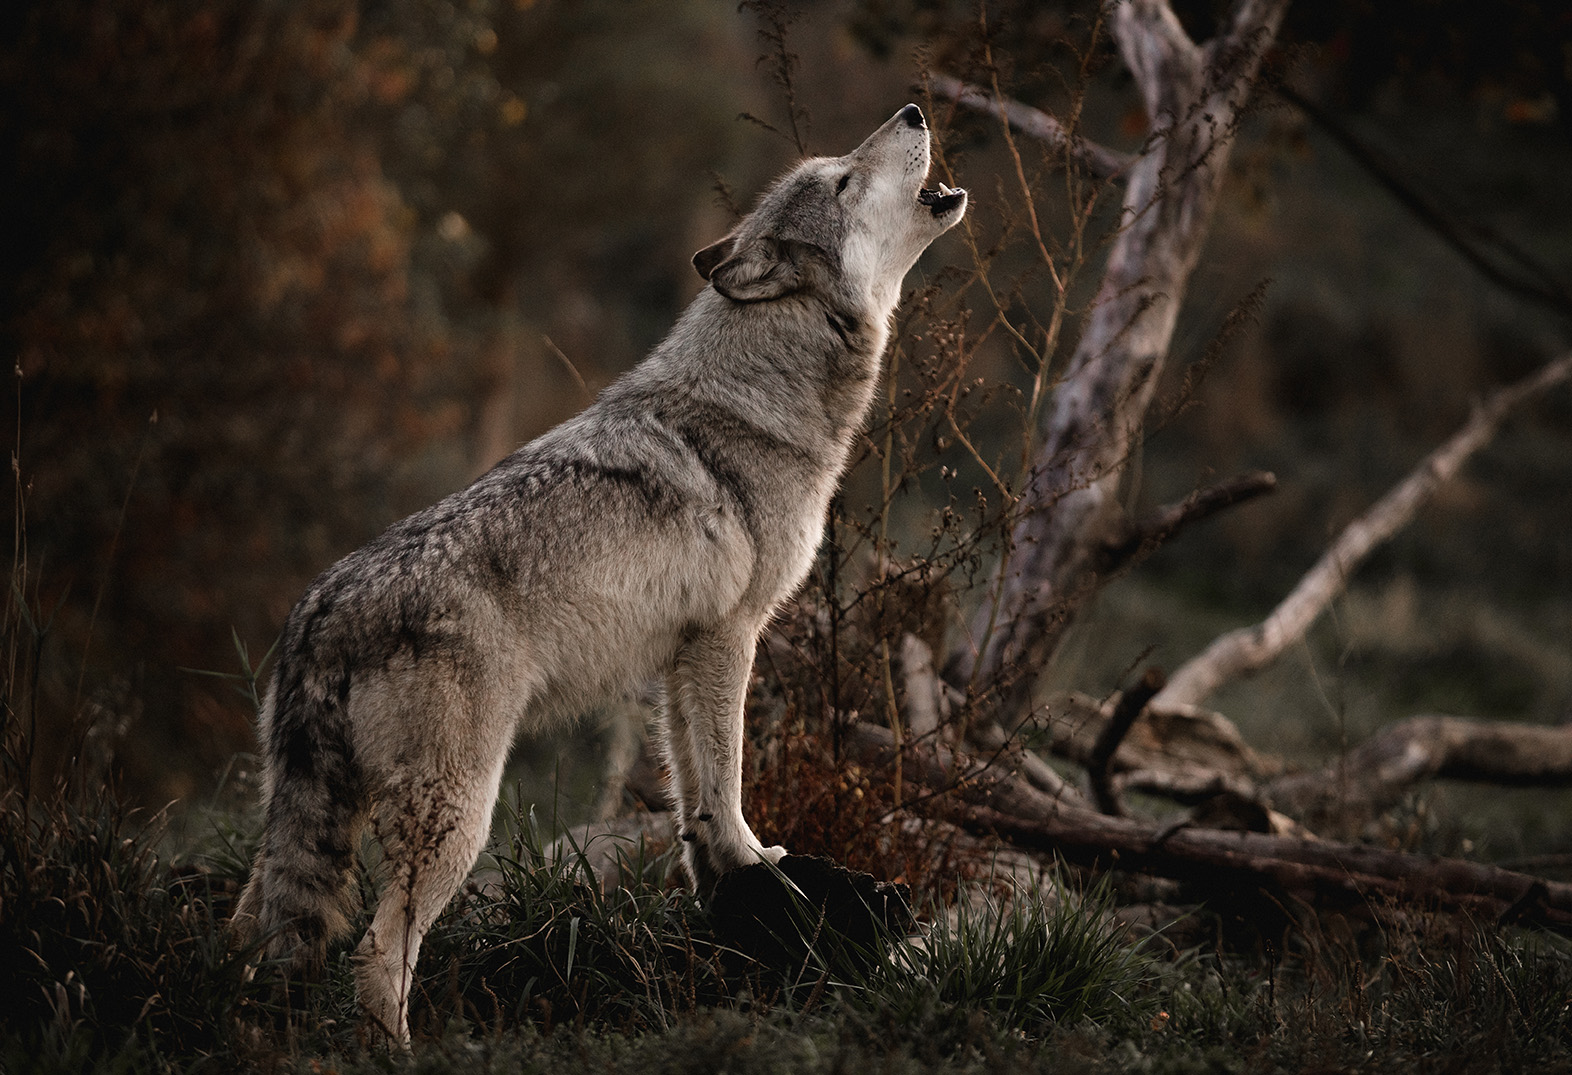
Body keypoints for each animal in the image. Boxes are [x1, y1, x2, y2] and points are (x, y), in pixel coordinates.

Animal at [231, 104, 966, 1043]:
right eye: (842, 179)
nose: (914, 110)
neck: (762, 398)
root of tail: (318, 614)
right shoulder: (730, 637)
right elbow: (728, 774)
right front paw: (758, 859)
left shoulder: (679, 658)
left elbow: (694, 792)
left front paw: (728, 872)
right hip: (457, 816)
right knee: (378, 951)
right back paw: (400, 1050)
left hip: (301, 825)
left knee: (254, 930)